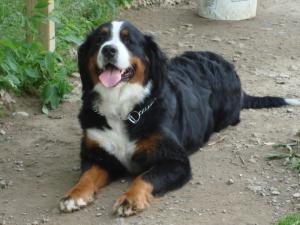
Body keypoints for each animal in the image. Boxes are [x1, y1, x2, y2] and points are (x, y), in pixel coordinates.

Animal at [59, 21, 300, 216]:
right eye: (99, 39)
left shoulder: (175, 161)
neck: (122, 108)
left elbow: (145, 177)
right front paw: (74, 195)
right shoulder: (97, 154)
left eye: (128, 40)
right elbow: (87, 176)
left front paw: (130, 199)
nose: (108, 49)